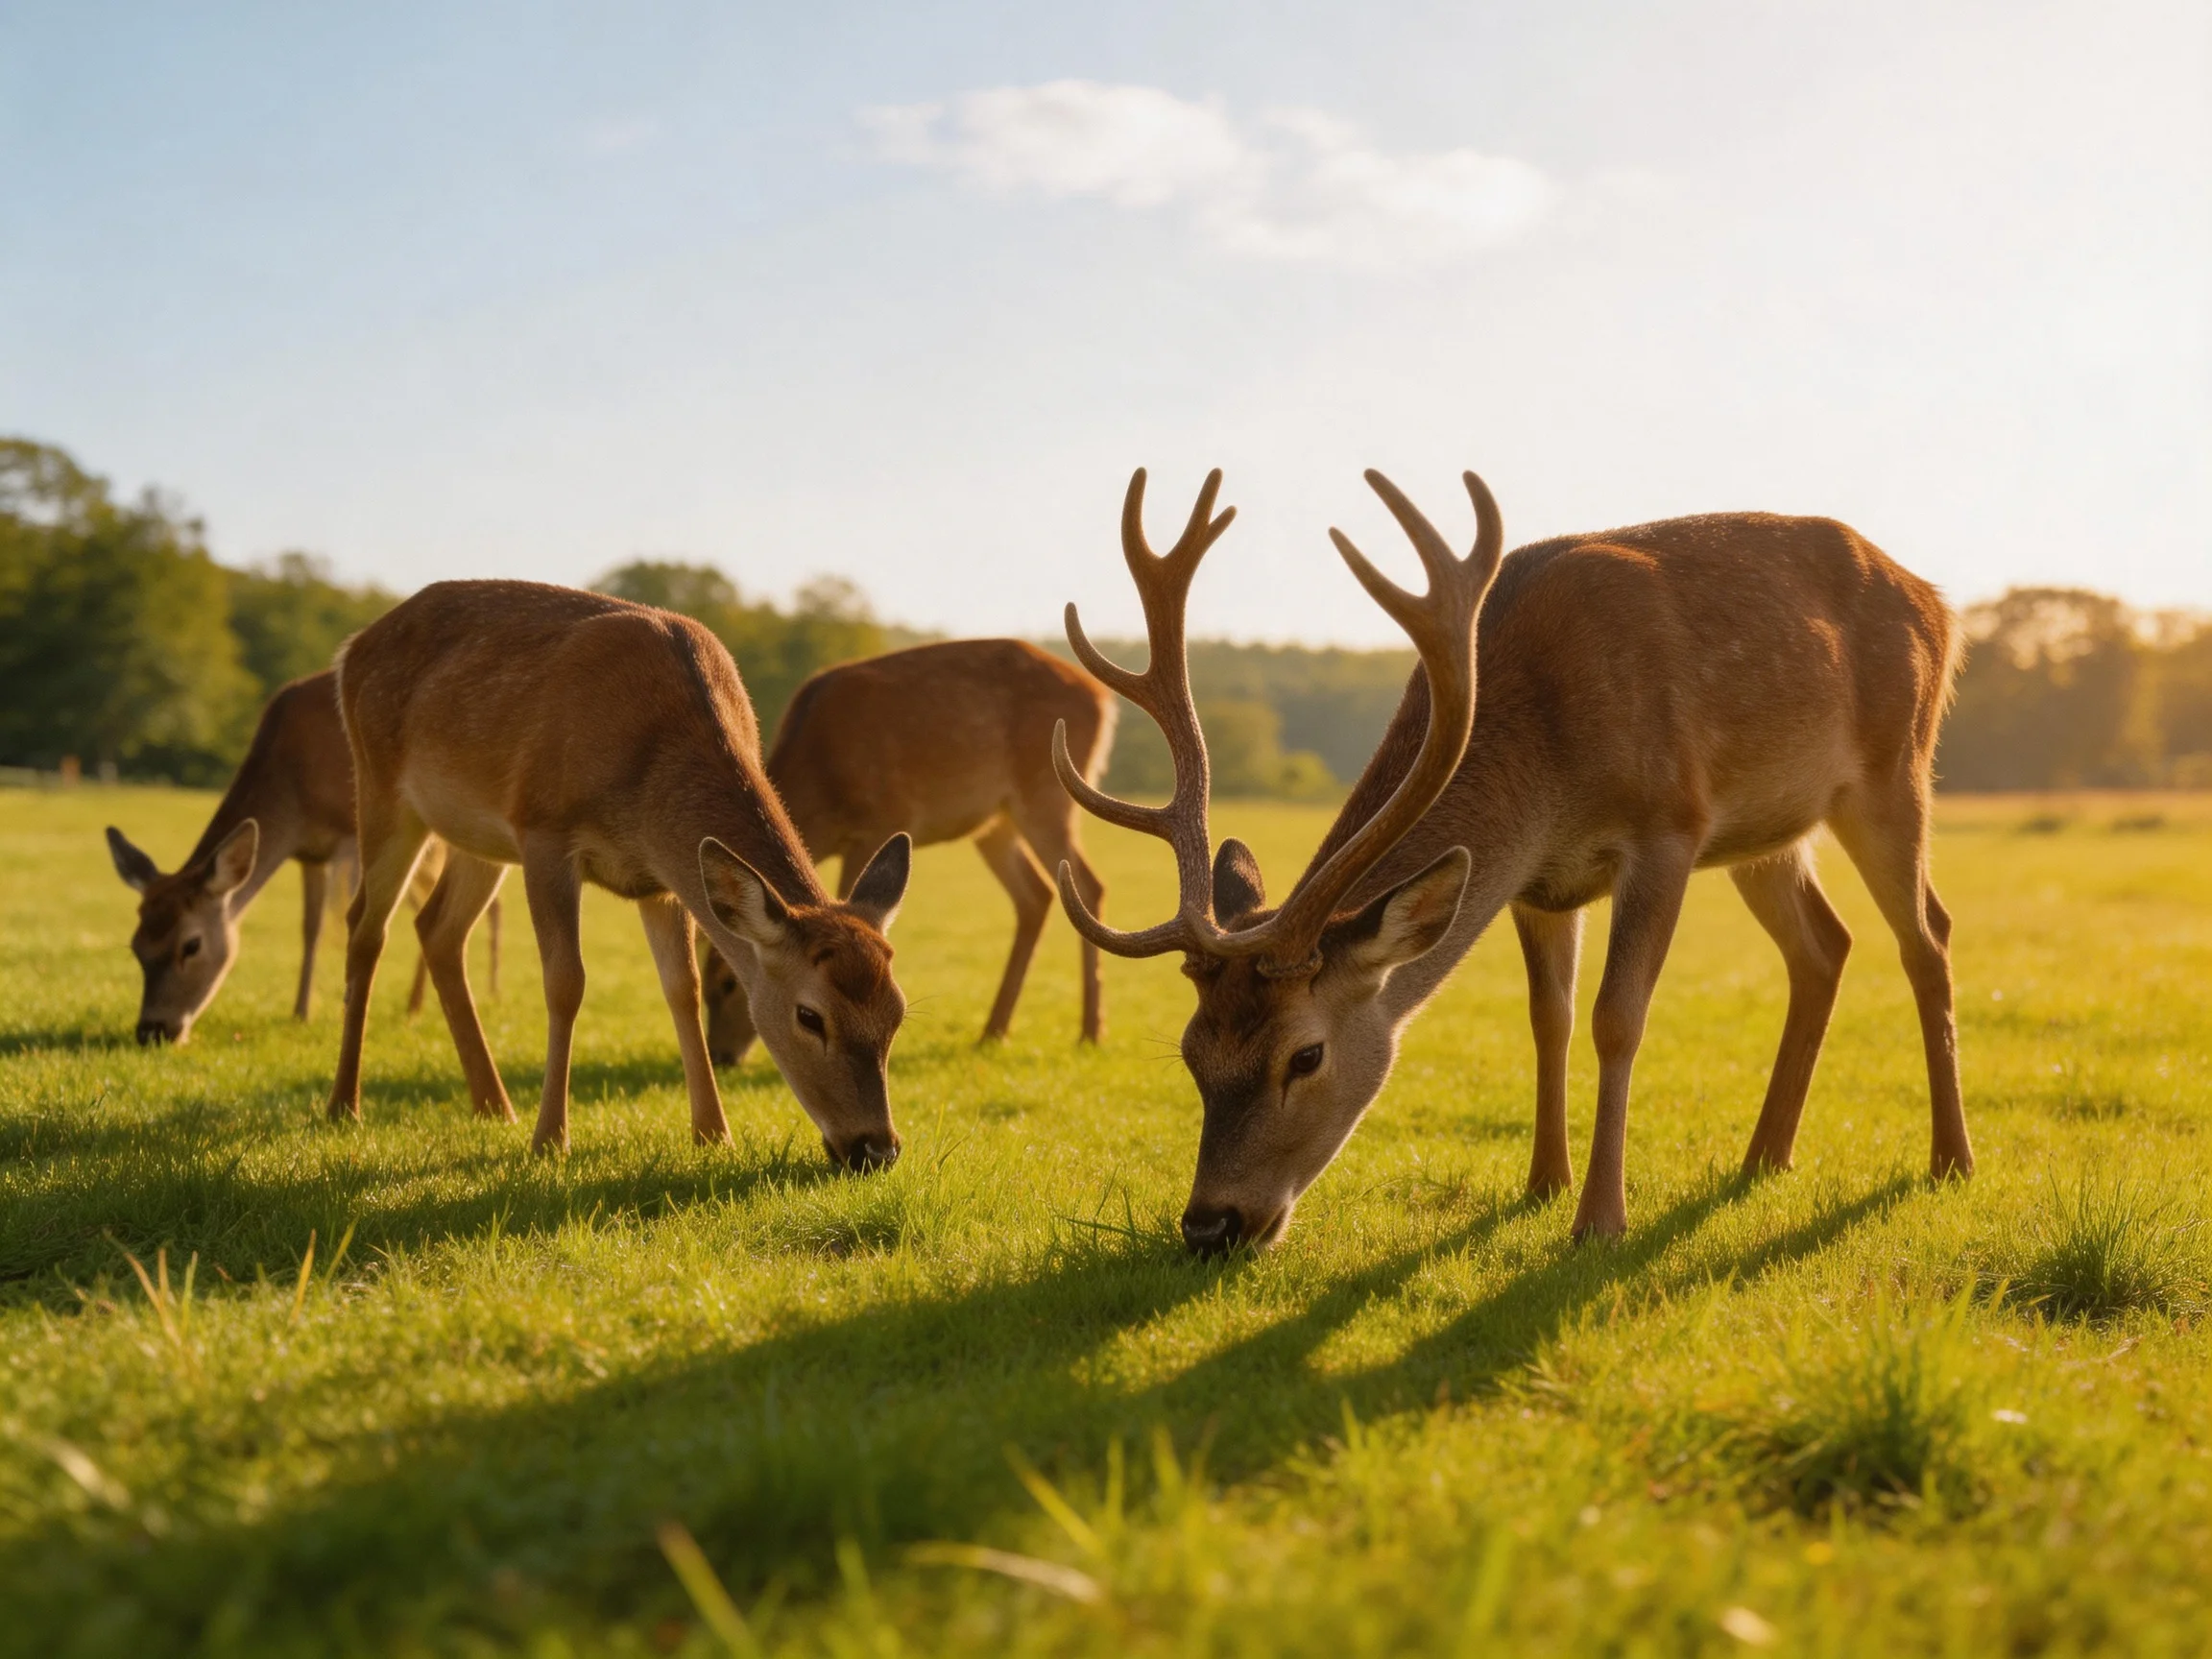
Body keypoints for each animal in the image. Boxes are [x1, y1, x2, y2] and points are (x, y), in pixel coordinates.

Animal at [105, 668, 500, 1046]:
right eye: (137, 946)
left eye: (191, 945)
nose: (153, 1031)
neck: (296, 791)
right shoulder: (310, 854)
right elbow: (311, 927)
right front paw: (301, 1011)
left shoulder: (350, 835)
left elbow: (348, 922)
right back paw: (416, 1004)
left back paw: (485, 990)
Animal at [325, 579, 912, 1166]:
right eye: (809, 1016)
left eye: (898, 1012)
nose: (876, 1147)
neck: (645, 785)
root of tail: (351, 648)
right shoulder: (544, 830)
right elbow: (566, 982)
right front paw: (550, 1139)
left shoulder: (664, 878)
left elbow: (683, 987)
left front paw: (713, 1133)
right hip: (381, 786)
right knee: (365, 927)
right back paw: (345, 1105)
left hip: (479, 835)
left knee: (437, 928)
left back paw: (494, 1105)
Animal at [696, 638, 1115, 1062]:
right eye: (705, 990)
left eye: (730, 983)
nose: (721, 1056)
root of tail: (1104, 699)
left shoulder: (883, 819)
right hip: (996, 822)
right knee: (1036, 894)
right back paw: (994, 1032)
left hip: (1047, 792)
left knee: (1087, 884)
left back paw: (1090, 1032)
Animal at [1052, 468, 1969, 1252]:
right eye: (1191, 1051)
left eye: (1304, 1056)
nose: (1211, 1225)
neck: (1549, 763)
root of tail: (1938, 600)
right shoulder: (1538, 882)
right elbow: (1547, 1017)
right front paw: (1542, 1185)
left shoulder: (1668, 825)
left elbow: (1615, 1016)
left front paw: (1600, 1221)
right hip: (1768, 833)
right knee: (1825, 945)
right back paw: (1765, 1156)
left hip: (1894, 768)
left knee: (1928, 935)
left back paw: (1949, 1159)